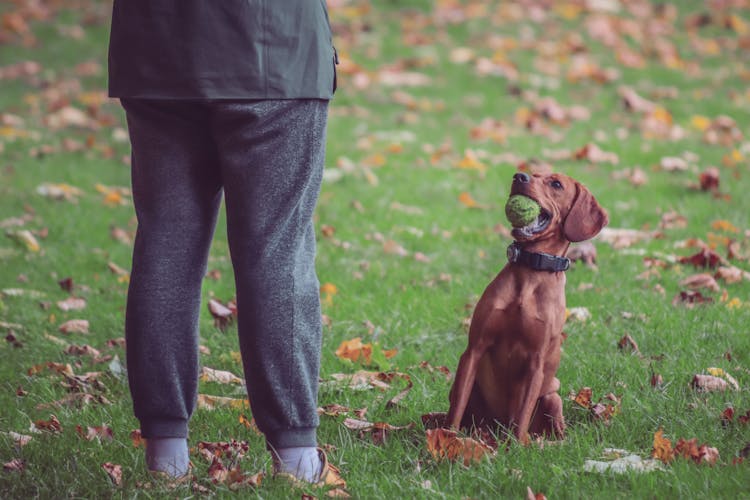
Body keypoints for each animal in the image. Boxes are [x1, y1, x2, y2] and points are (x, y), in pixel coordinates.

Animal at [450, 171, 608, 442]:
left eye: (556, 184)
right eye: (534, 174)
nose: (519, 176)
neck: (531, 272)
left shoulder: (536, 363)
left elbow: (522, 415)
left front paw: (512, 447)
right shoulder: (474, 349)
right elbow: (457, 407)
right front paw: (446, 438)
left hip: (552, 398)